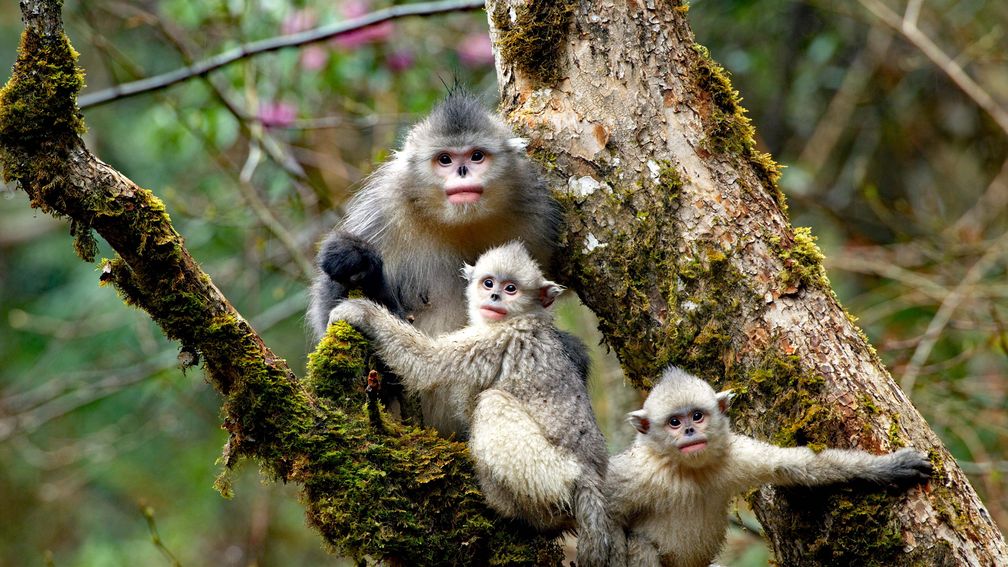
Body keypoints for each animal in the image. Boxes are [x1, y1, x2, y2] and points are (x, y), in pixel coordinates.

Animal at [306, 92, 560, 433]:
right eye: (445, 160)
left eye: (476, 156)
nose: (463, 172)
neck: (462, 223)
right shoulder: (386, 206)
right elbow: (327, 319)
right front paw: (359, 263)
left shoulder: (536, 214)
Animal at [326, 242, 616, 564]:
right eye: (488, 283)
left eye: (511, 288)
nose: (494, 297)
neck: (523, 318)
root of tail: (591, 478)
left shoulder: (494, 342)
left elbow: (426, 363)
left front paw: (363, 313)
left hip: (554, 475)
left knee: (492, 403)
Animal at [600, 367, 931, 564]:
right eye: (673, 423)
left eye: (696, 416)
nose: (690, 431)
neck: (689, 471)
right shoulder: (638, 473)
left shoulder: (737, 456)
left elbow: (793, 465)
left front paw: (888, 466)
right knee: (639, 545)